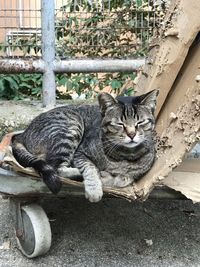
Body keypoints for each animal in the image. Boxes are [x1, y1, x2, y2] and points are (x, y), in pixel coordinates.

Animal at [11, 90, 159, 203]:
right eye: (119, 124)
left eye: (140, 122)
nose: (132, 134)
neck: (124, 154)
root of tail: (22, 134)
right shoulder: (81, 153)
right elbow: (90, 168)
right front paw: (95, 188)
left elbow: (125, 178)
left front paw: (113, 177)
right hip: (71, 126)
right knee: (55, 166)